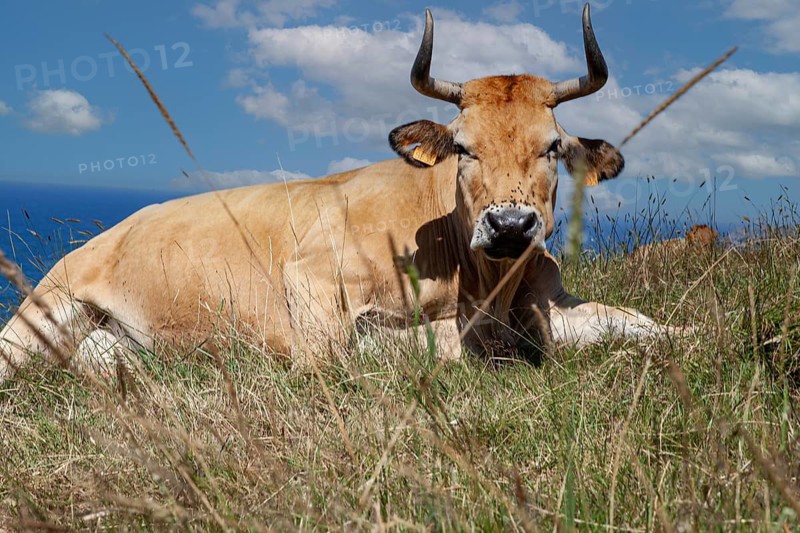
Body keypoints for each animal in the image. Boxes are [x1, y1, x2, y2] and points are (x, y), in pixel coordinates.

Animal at [0, 4, 677, 381]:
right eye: (463, 147)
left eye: (552, 148)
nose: (510, 225)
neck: (481, 284)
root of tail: (113, 229)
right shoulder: (315, 279)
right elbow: (373, 351)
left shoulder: (552, 303)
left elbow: (644, 324)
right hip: (36, 317)